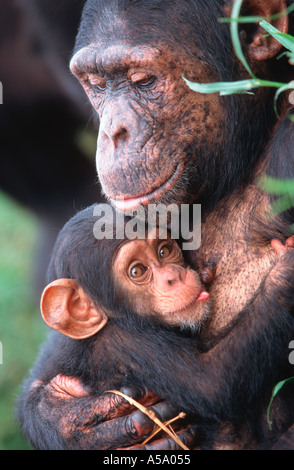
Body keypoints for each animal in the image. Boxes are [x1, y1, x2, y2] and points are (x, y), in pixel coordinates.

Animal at [17, 0, 294, 448]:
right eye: (97, 85)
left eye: (143, 81)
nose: (114, 132)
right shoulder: (129, 346)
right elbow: (213, 381)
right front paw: (72, 422)